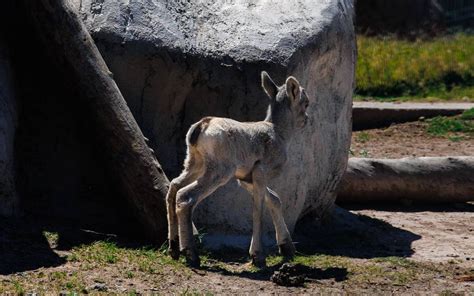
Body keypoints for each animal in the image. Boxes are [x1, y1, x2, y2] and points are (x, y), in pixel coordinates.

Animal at [167, 70, 312, 268]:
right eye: (305, 102)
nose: (307, 119)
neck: (280, 134)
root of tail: (202, 126)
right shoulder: (260, 173)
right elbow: (258, 210)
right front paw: (258, 256)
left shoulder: (245, 179)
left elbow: (274, 199)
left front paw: (287, 248)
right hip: (219, 172)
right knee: (185, 196)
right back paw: (191, 254)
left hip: (194, 165)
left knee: (173, 186)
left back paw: (173, 249)